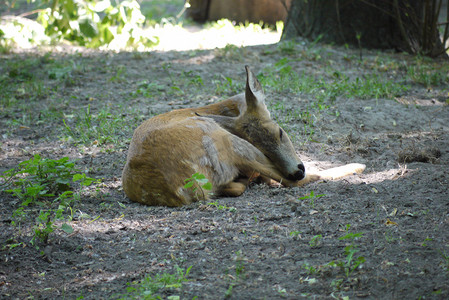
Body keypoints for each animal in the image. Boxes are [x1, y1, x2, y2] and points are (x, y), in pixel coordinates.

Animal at [121, 65, 364, 206]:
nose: (297, 170)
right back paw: (357, 166)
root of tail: (177, 189)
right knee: (293, 182)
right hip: (226, 142)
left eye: (280, 132)